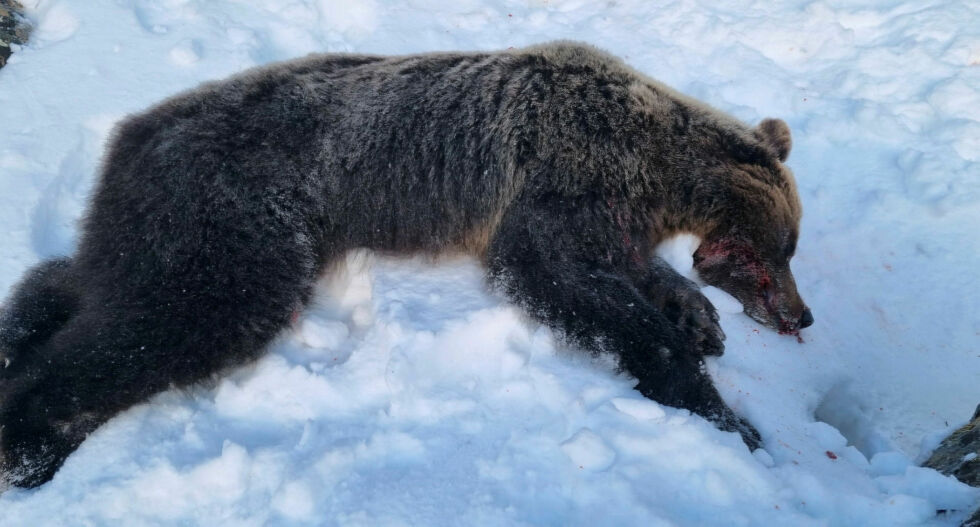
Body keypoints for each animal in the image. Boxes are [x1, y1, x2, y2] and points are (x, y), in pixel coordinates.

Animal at [0, 41, 812, 490]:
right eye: (785, 247)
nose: (800, 313)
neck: (656, 166)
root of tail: (130, 133)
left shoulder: (613, 213)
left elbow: (634, 271)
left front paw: (697, 315)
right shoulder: (559, 178)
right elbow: (569, 281)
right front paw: (729, 418)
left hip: (159, 219)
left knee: (82, 280)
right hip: (240, 211)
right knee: (174, 316)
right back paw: (30, 442)